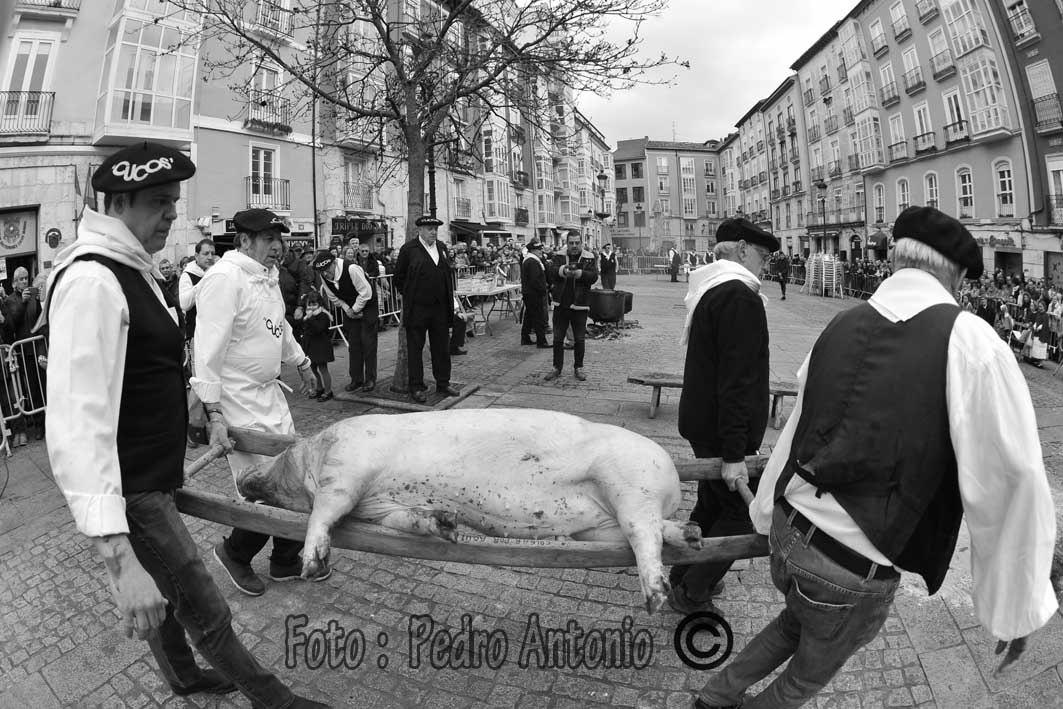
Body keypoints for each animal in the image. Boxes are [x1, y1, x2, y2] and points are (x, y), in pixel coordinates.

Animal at [239, 408, 705, 612]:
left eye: (281, 457)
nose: (244, 480)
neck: (319, 452)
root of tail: (672, 477)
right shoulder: (379, 508)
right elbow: (406, 520)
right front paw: (444, 523)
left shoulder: (349, 470)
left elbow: (323, 510)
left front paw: (311, 567)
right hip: (601, 526)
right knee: (657, 529)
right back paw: (694, 535)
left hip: (629, 482)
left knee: (645, 535)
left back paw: (656, 599)